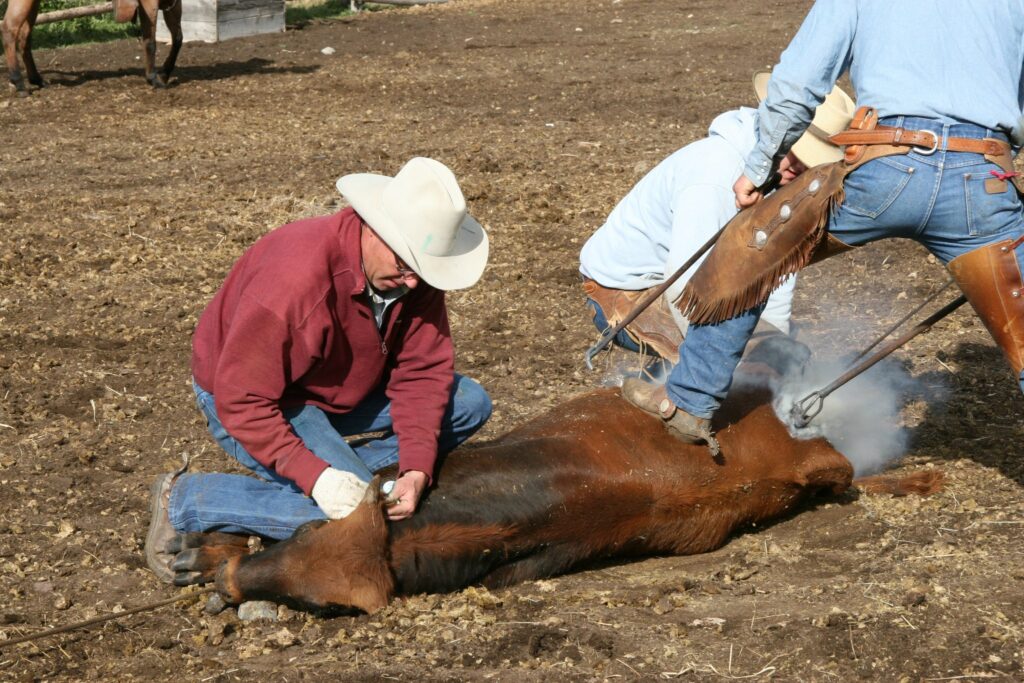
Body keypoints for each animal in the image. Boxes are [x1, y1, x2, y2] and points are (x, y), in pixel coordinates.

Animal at [1, 0, 182, 96]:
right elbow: (150, 42)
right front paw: (154, 79)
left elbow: (178, 38)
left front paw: (164, 74)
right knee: (10, 31)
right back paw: (19, 84)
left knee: (24, 36)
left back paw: (37, 80)